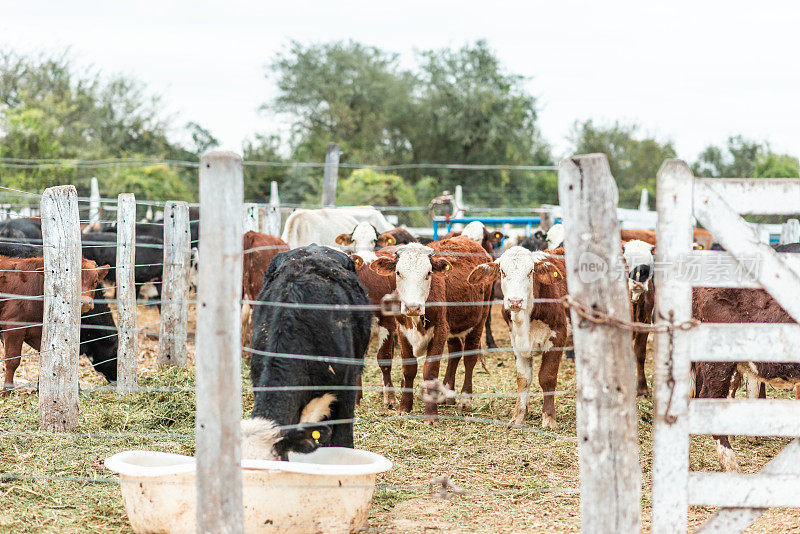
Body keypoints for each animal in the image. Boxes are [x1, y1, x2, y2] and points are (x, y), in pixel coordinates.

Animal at [370, 239, 494, 422]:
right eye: (398, 272)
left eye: (428, 273)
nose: (412, 307)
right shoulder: (402, 331)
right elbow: (409, 369)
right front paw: (404, 408)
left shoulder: (440, 331)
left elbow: (430, 370)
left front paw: (431, 415)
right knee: (455, 352)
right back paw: (447, 394)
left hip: (479, 320)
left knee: (469, 358)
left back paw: (465, 399)